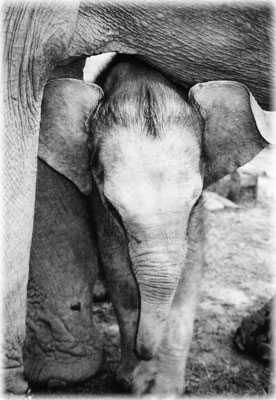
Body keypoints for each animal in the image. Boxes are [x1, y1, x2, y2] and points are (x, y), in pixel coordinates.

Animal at [1, 0, 274, 394]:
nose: (145, 351)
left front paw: (159, 388)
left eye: (195, 203)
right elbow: (118, 266)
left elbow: (190, 270)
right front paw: (133, 379)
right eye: (114, 209)